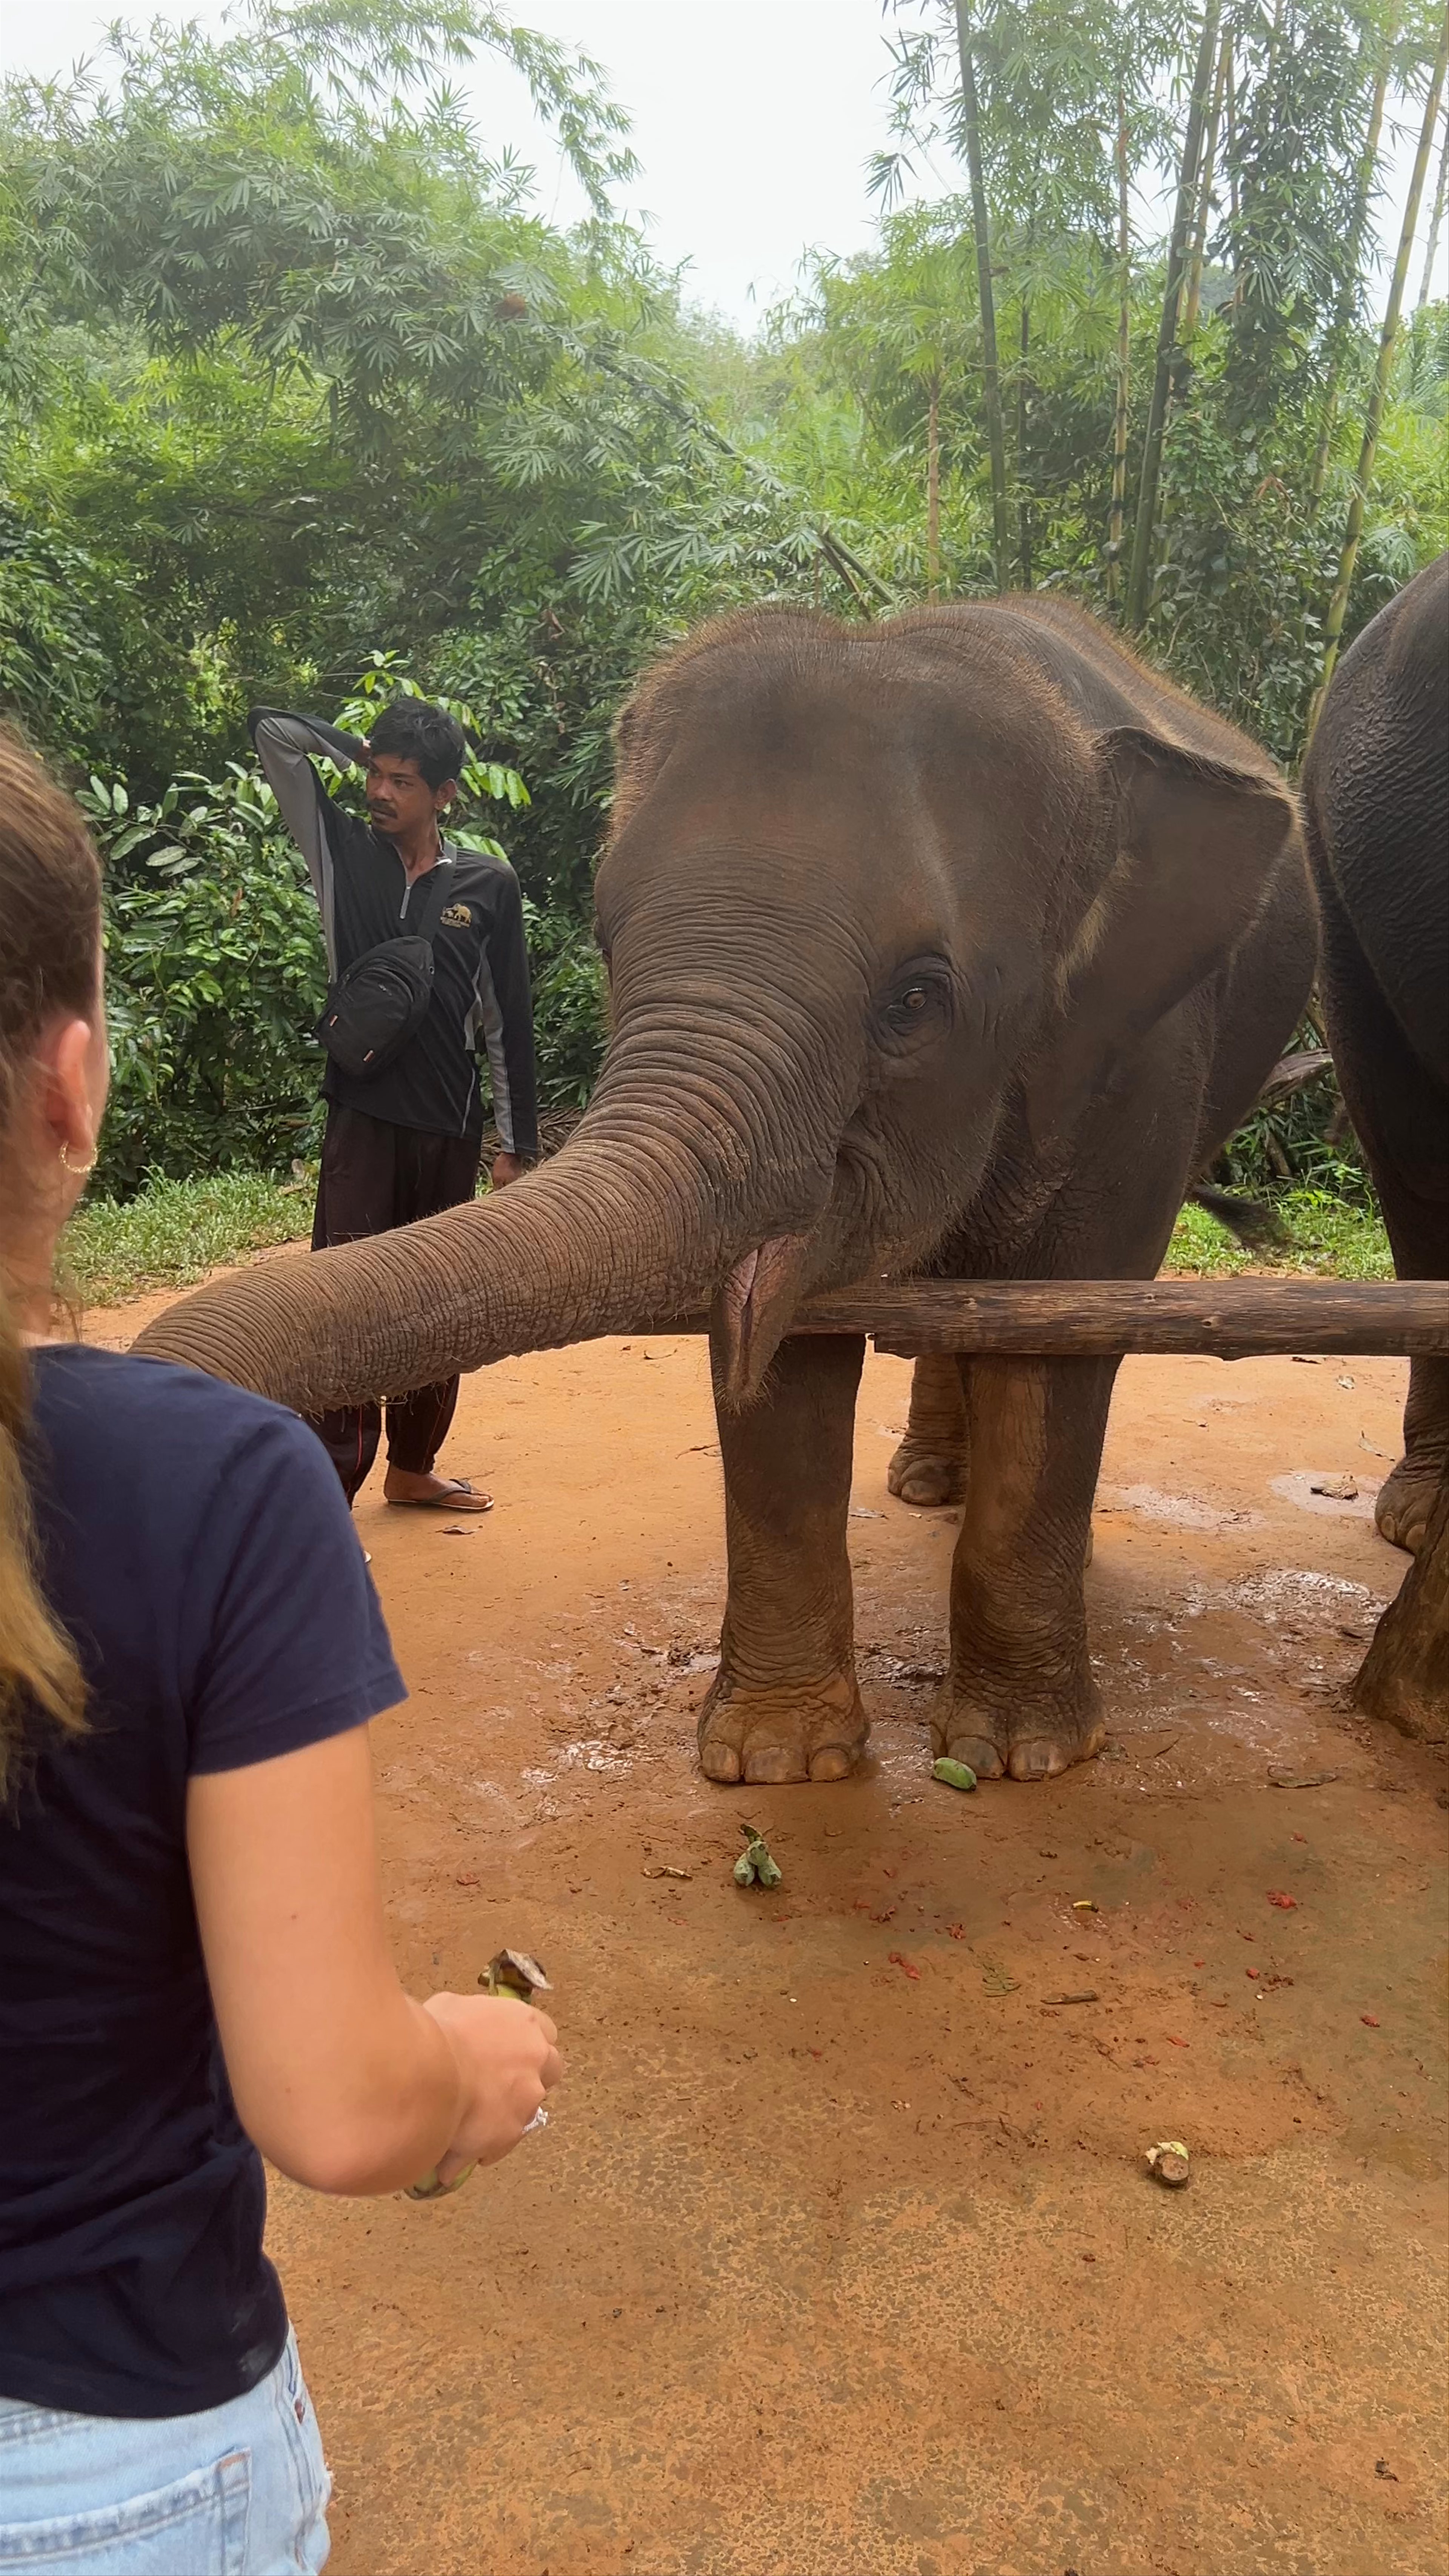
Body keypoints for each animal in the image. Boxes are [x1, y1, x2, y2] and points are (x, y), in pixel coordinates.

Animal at [136, 597, 1316, 1786]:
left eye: (915, 1000)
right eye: (609, 944)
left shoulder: (1145, 1059)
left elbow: (1061, 1336)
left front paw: (1018, 1758)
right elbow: (781, 1348)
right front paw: (778, 1762)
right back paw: (926, 1485)